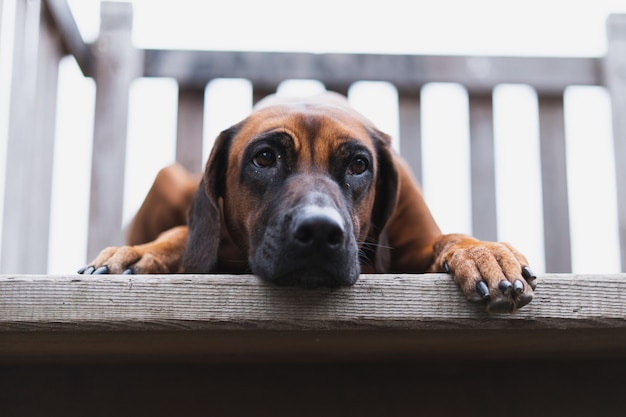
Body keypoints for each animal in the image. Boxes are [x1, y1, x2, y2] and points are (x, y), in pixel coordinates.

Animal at [79, 92, 536, 312]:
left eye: (358, 164)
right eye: (264, 158)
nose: (319, 231)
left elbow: (447, 239)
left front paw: (483, 253)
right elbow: (183, 234)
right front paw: (142, 253)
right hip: (169, 176)